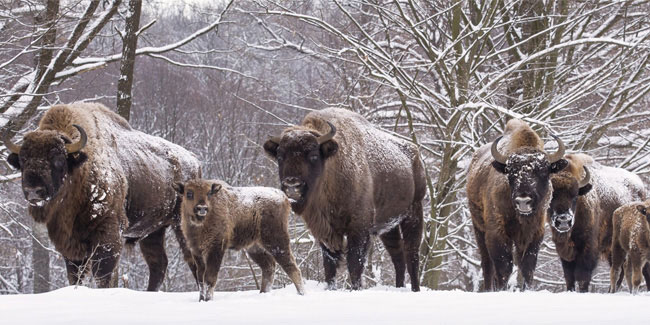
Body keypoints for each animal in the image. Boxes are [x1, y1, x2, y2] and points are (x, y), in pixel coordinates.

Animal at [3, 102, 200, 288]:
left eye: (57, 158)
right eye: (22, 160)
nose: (33, 191)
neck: (80, 168)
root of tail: (194, 161)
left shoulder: (108, 233)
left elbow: (102, 275)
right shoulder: (70, 244)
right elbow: (75, 276)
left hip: (182, 225)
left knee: (194, 260)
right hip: (154, 231)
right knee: (158, 264)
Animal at [172, 178, 304, 300]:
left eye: (209, 193)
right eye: (189, 193)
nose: (202, 208)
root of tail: (284, 197)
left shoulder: (216, 249)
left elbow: (209, 279)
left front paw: (208, 300)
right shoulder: (197, 252)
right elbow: (200, 280)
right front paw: (201, 300)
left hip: (276, 242)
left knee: (291, 267)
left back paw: (301, 293)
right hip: (255, 248)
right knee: (269, 267)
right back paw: (263, 293)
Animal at [264, 107, 426, 290]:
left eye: (313, 155)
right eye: (280, 156)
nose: (292, 185)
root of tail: (415, 154)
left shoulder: (359, 229)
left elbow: (355, 264)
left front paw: (355, 288)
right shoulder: (325, 232)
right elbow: (330, 266)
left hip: (414, 212)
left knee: (411, 254)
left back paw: (415, 289)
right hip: (389, 225)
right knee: (398, 256)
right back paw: (399, 287)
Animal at [466, 119, 568, 292]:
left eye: (543, 171)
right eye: (511, 172)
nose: (523, 200)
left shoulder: (534, 234)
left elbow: (527, 267)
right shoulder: (497, 232)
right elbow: (503, 267)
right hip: (478, 227)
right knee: (487, 264)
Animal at [540, 153, 644, 292]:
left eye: (575, 196)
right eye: (551, 196)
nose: (564, 220)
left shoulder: (588, 249)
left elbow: (582, 277)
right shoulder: (565, 253)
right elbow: (569, 277)